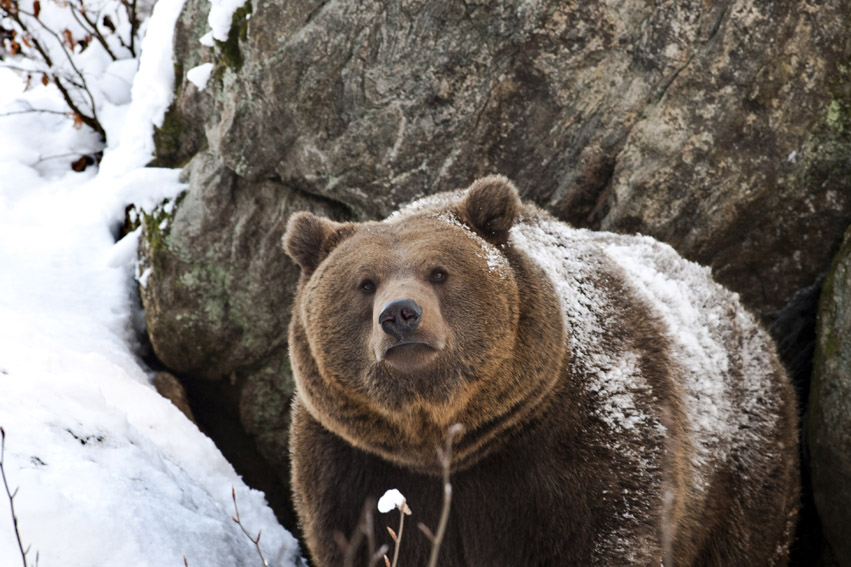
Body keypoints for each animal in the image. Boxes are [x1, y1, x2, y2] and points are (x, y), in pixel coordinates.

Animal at [282, 175, 799, 566]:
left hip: (742, 463)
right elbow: (367, 540)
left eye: (439, 272)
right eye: (365, 283)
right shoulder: (353, 464)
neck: (445, 438)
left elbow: (606, 531)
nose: (401, 314)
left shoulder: (586, 435)